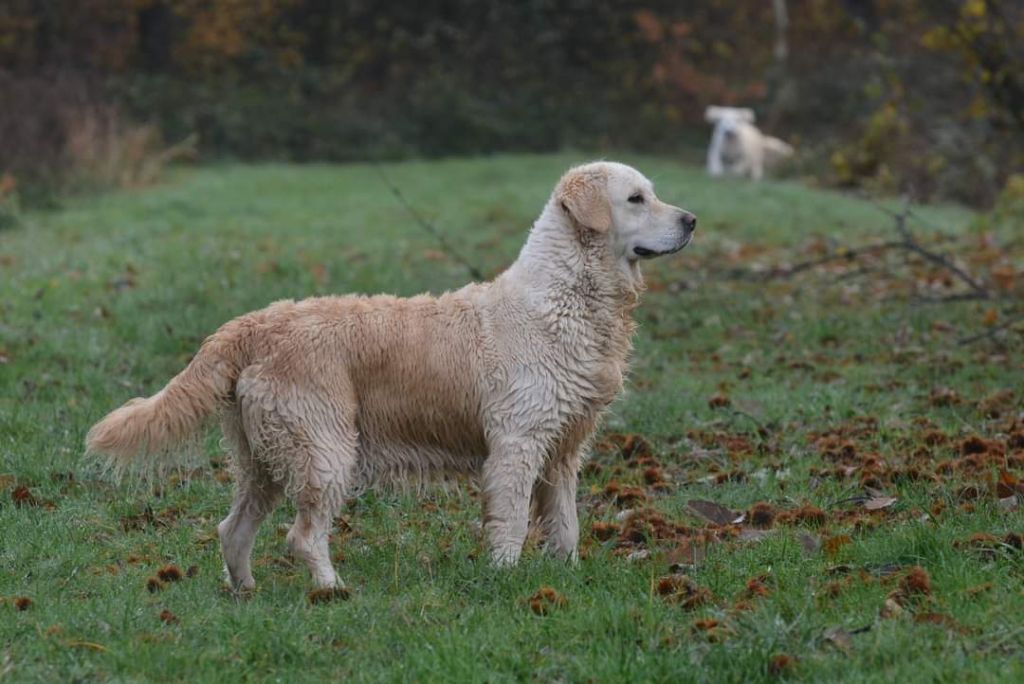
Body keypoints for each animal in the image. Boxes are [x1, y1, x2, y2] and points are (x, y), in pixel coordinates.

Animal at [88, 161, 696, 593]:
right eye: (636, 199)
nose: (691, 220)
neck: (566, 297)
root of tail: (254, 323)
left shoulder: (565, 449)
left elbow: (566, 524)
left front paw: (566, 577)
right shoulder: (517, 445)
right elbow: (512, 524)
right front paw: (504, 580)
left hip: (264, 458)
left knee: (233, 530)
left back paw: (245, 592)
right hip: (325, 449)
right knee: (302, 535)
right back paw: (332, 589)